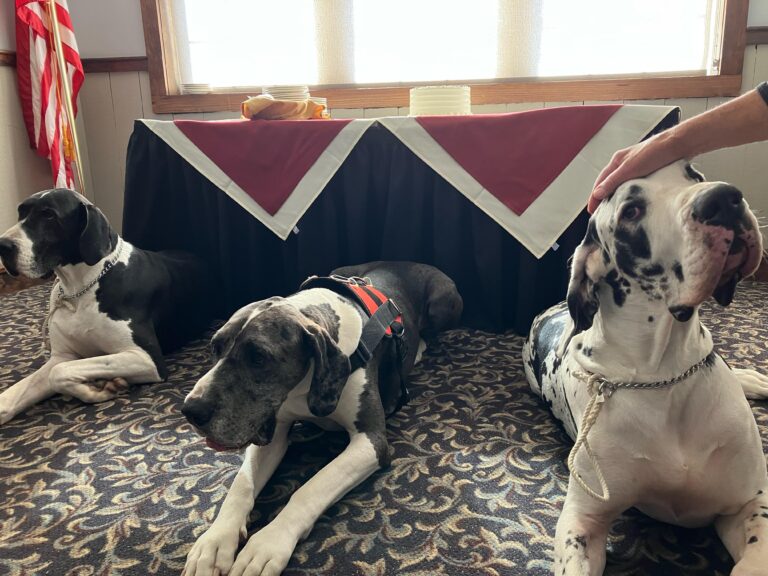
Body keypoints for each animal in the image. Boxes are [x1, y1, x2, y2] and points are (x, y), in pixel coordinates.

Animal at [0, 188, 208, 424]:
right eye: (21, 212)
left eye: (49, 215)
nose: (2, 245)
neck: (78, 289)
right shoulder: (63, 356)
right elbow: (21, 390)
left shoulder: (146, 358)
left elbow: (59, 372)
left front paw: (97, 388)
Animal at [520, 161, 768, 576]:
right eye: (631, 211)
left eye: (693, 175)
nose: (724, 198)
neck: (660, 375)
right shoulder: (582, 520)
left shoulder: (749, 505)